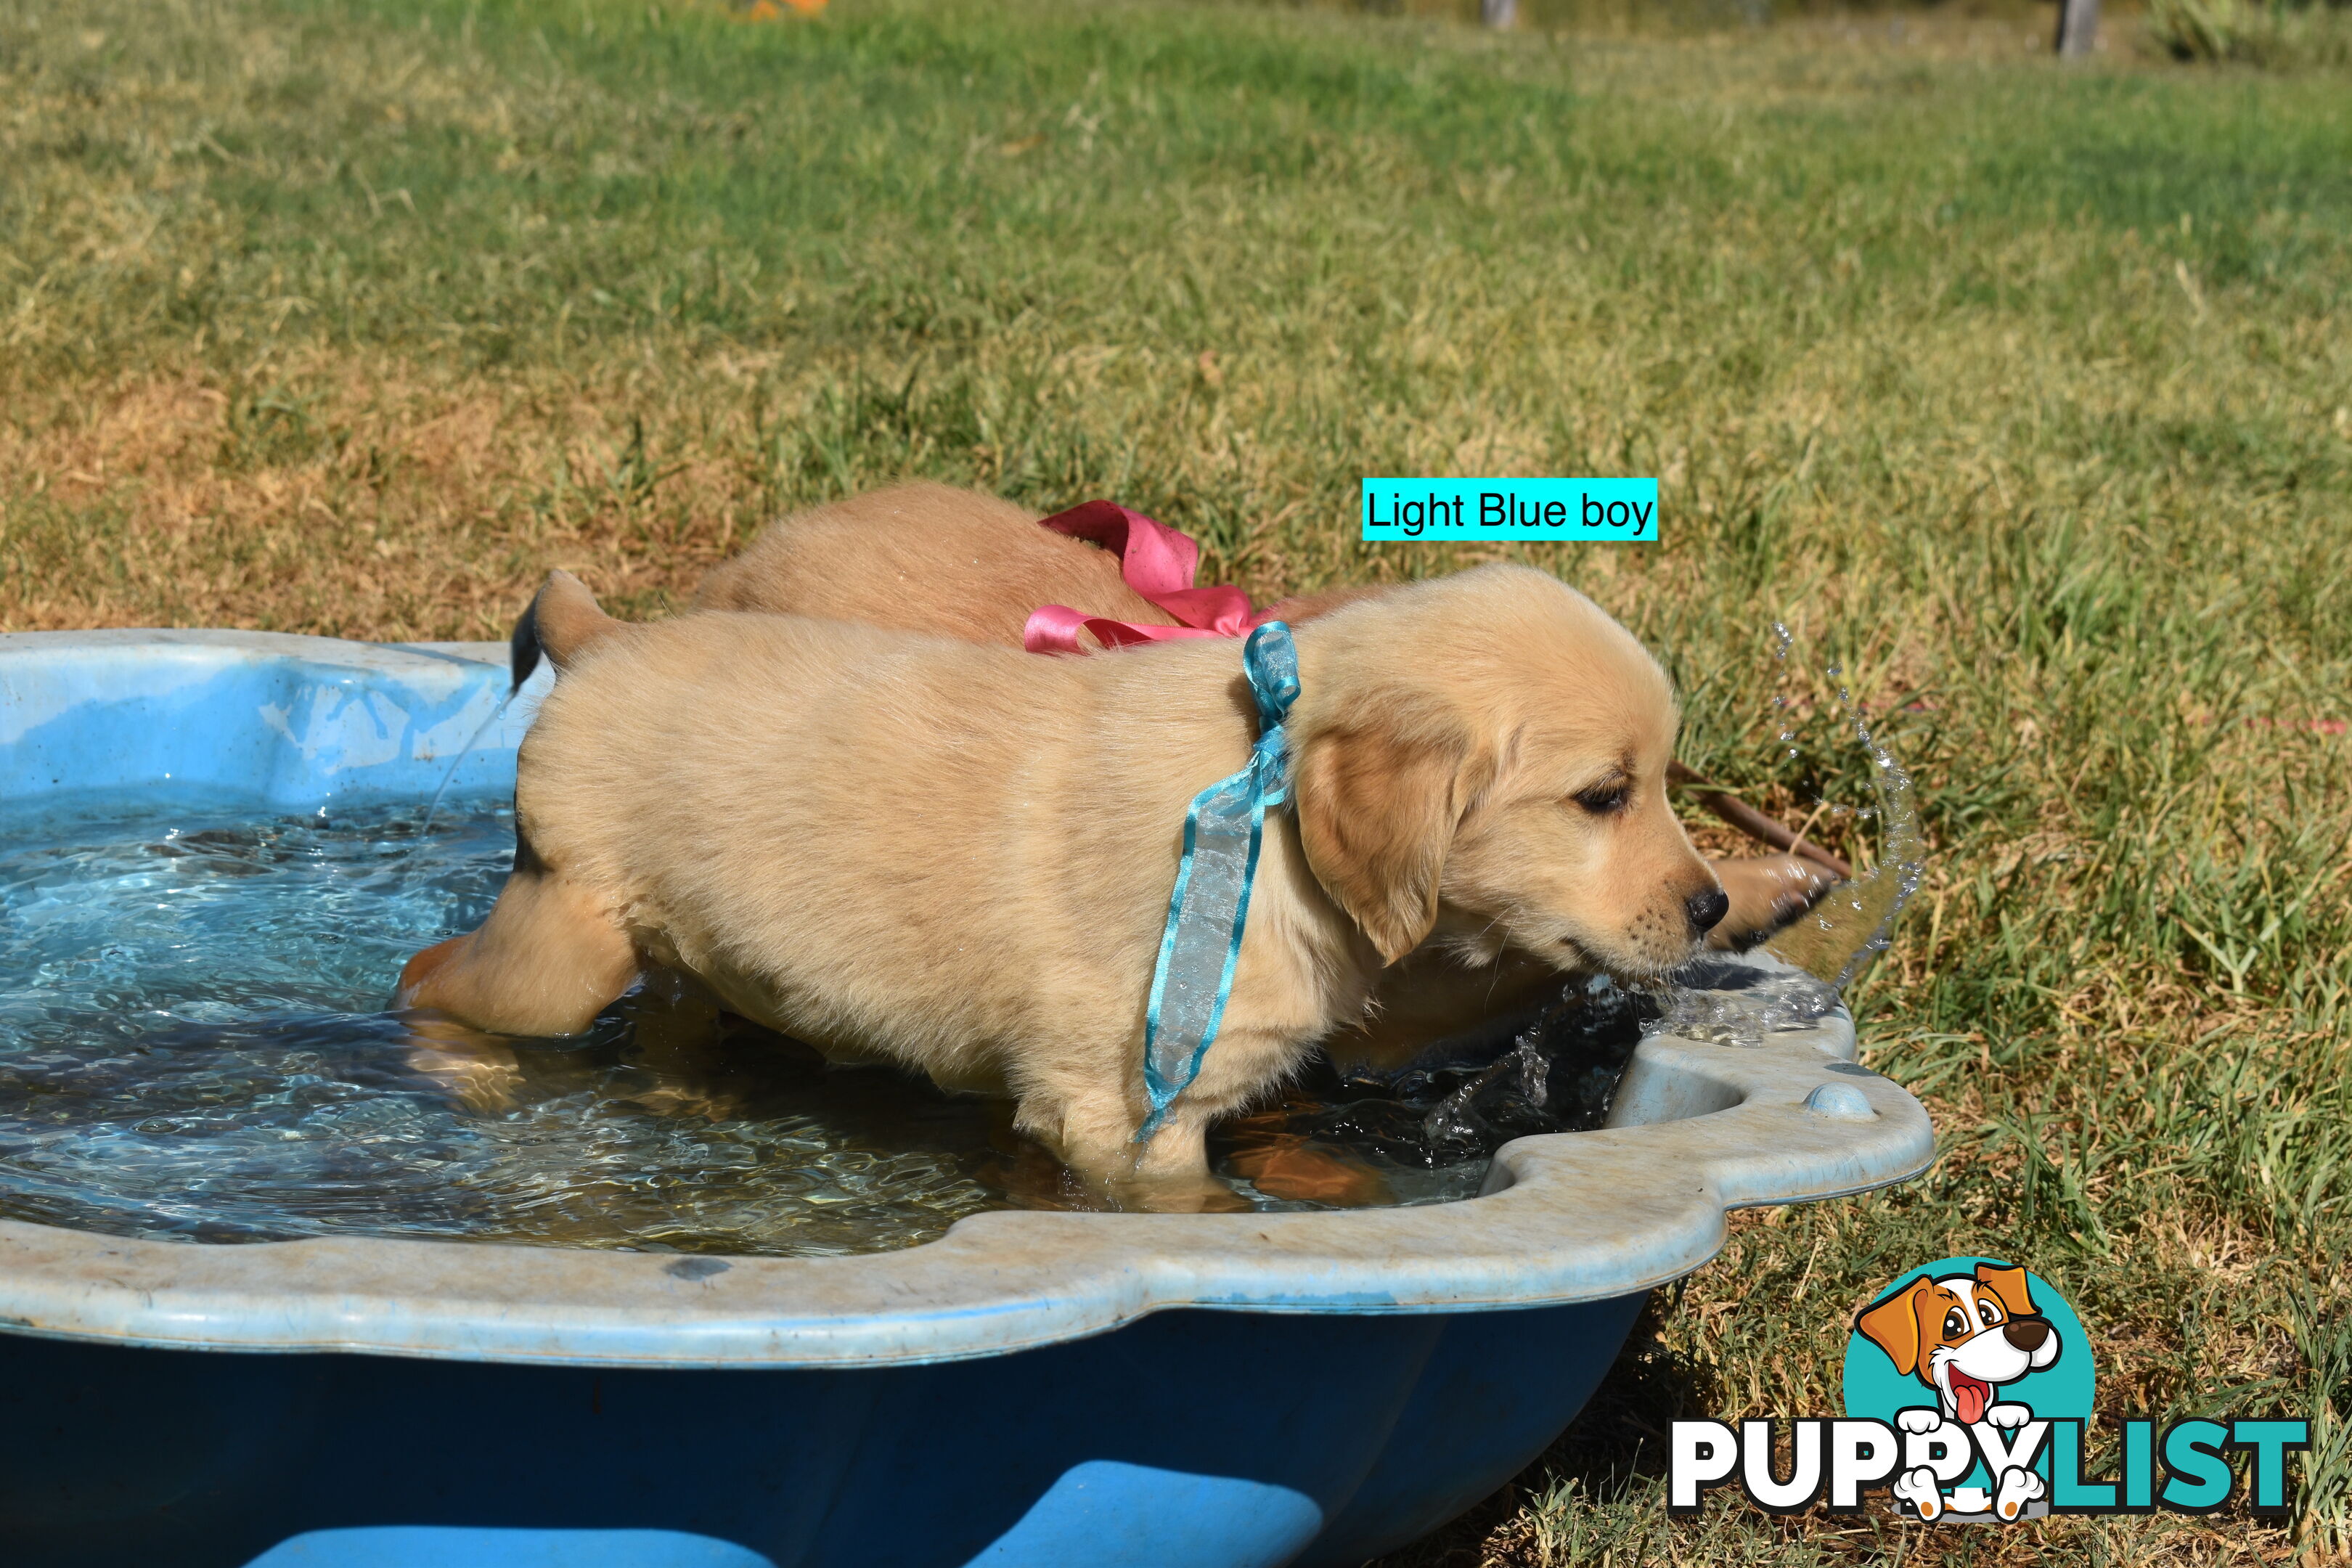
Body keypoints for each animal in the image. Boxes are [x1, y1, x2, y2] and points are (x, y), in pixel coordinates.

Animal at [404, 566, 1731, 1189]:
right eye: (1604, 797)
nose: (1716, 905)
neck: (1271, 804)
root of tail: (603, 638)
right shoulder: (1125, 1113)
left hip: (681, 949)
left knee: (671, 1024)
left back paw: (696, 1100)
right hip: (561, 944)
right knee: (431, 980)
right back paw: (461, 1075)